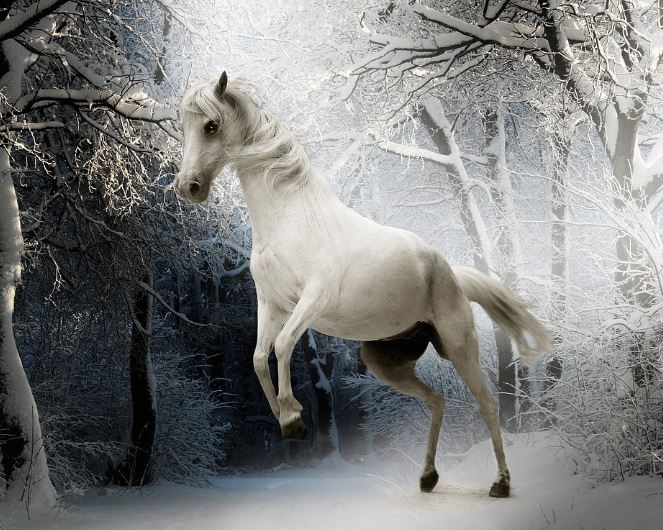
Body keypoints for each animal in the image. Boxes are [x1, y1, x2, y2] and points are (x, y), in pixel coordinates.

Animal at [175, 72, 551, 498]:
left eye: (211, 125)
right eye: (183, 126)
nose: (188, 187)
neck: (291, 218)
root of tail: (450, 272)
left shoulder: (312, 300)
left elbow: (283, 345)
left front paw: (293, 416)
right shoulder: (271, 303)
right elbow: (257, 357)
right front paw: (287, 421)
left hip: (459, 346)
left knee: (487, 404)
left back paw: (500, 483)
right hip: (385, 362)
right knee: (437, 400)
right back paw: (428, 477)